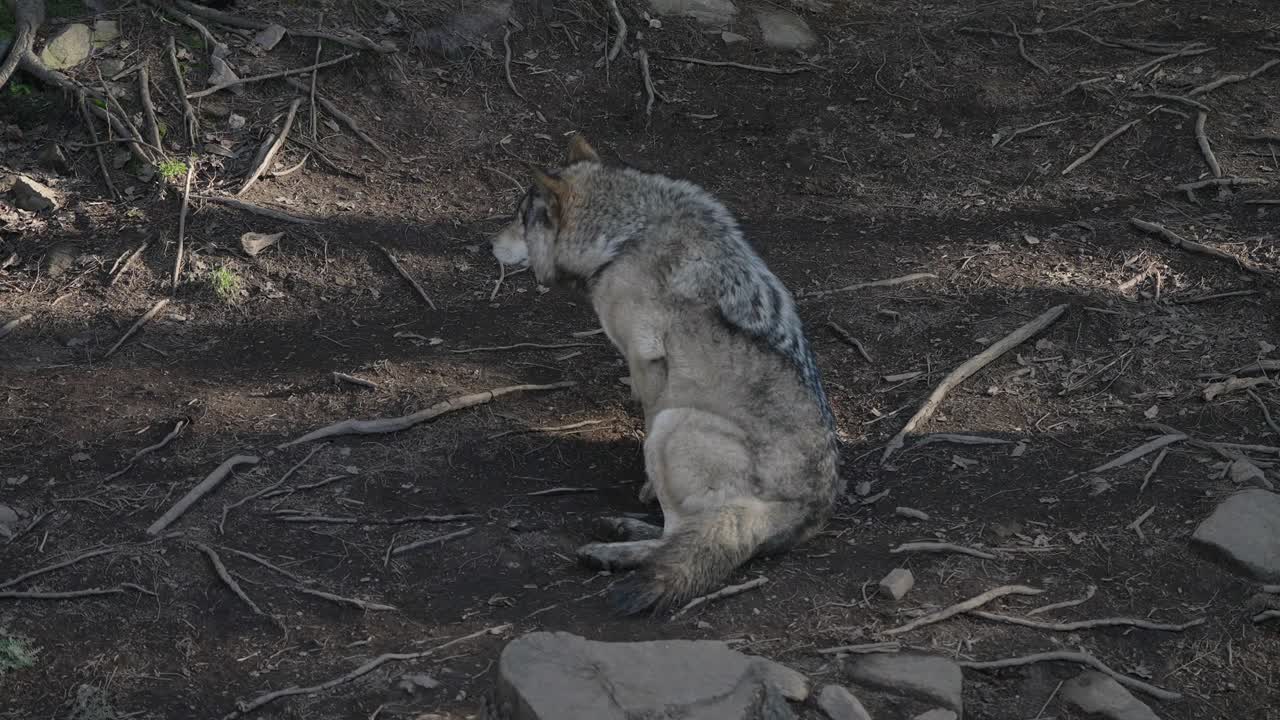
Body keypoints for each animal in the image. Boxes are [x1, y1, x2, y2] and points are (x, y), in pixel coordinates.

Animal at [489, 136, 840, 614]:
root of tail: (807, 507)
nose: (488, 244)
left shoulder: (647, 359)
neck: (628, 237)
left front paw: (644, 491)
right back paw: (624, 530)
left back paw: (612, 552)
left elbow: (645, 417)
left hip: (676, 426)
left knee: (678, 536)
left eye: (519, 217)